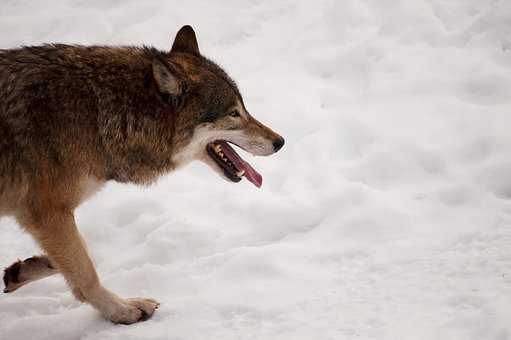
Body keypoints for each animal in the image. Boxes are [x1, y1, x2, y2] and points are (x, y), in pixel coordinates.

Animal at [0, 25, 284, 322]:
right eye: (233, 114)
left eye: (244, 108)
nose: (280, 142)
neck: (99, 113)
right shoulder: (48, 211)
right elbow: (86, 273)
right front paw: (122, 310)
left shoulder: (44, 216)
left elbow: (78, 256)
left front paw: (22, 270)